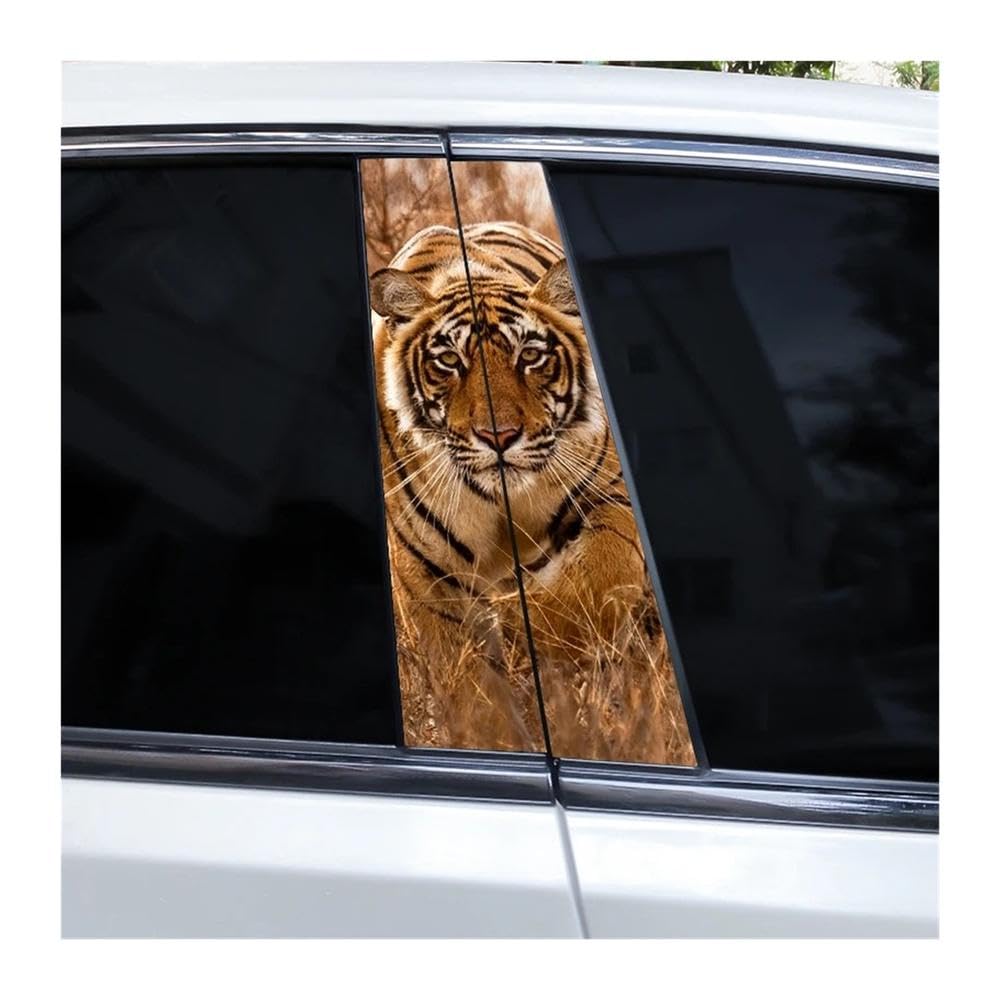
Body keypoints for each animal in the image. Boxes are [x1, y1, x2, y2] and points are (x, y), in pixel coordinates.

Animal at [369, 221, 660, 737]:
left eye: (530, 356)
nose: (498, 436)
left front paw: (518, 628)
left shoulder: (608, 496)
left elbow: (593, 582)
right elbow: (473, 696)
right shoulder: (426, 572)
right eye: (449, 362)